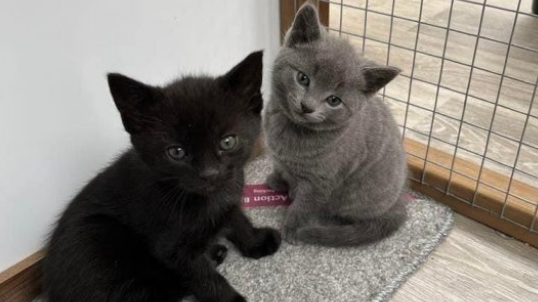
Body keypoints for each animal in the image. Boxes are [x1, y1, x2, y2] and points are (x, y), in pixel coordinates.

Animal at [40, 51, 280, 302]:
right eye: (176, 152)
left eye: (227, 142)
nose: (209, 173)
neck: (207, 200)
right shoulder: (170, 248)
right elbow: (204, 278)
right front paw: (229, 298)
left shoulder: (229, 194)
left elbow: (237, 218)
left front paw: (255, 240)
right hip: (98, 241)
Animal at [264, 3, 406, 247]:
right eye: (302, 78)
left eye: (333, 100)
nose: (307, 106)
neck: (291, 130)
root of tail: (398, 204)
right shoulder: (280, 158)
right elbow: (281, 168)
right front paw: (277, 180)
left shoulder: (320, 182)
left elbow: (303, 206)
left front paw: (291, 228)